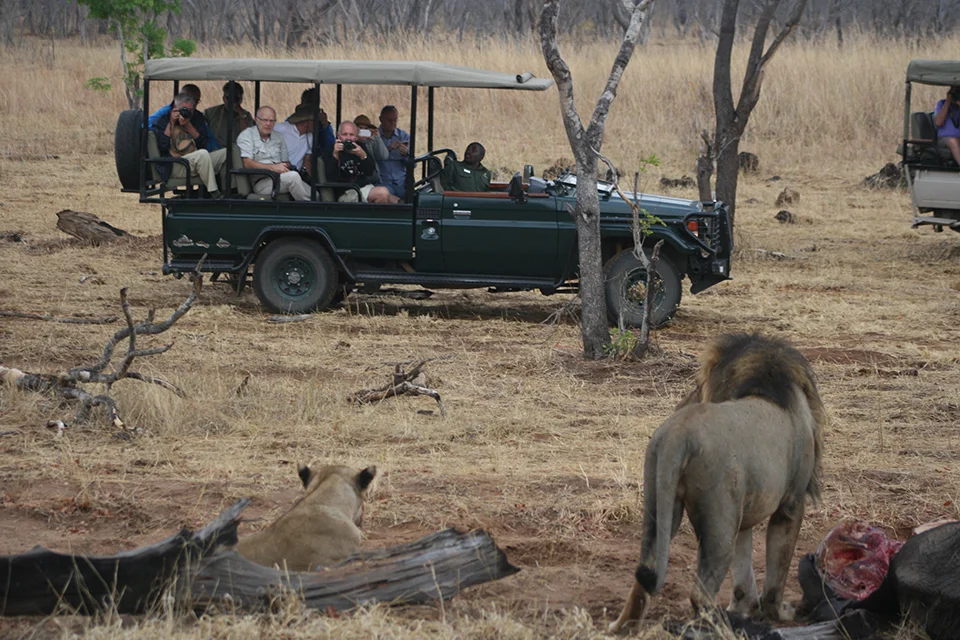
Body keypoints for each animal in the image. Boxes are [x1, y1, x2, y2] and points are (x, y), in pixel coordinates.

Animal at [609, 333, 825, 633]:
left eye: (698, 384)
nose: (681, 403)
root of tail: (678, 434)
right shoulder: (791, 504)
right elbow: (777, 571)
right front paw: (779, 612)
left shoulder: (743, 511)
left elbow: (743, 568)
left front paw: (746, 607)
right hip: (719, 519)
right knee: (701, 593)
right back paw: (725, 627)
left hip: (659, 503)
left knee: (644, 576)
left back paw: (621, 628)